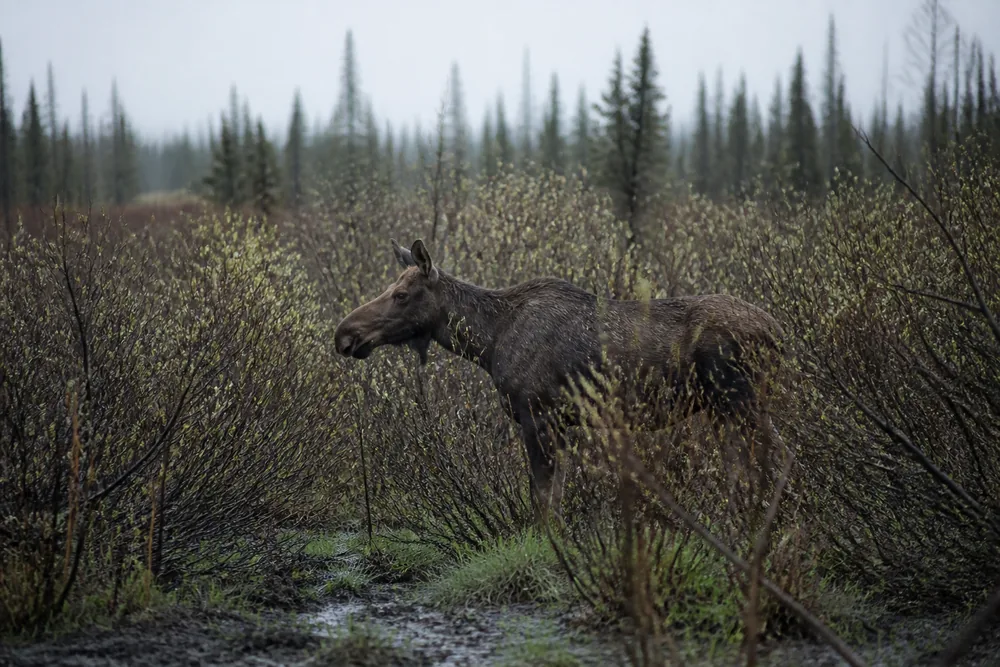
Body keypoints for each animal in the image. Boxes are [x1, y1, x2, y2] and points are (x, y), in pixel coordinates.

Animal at [334, 239, 787, 524]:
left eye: (401, 295)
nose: (345, 333)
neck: (488, 343)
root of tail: (779, 333)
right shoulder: (561, 423)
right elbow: (555, 495)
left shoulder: (538, 416)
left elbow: (543, 500)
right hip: (724, 411)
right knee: (741, 469)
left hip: (743, 402)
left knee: (777, 458)